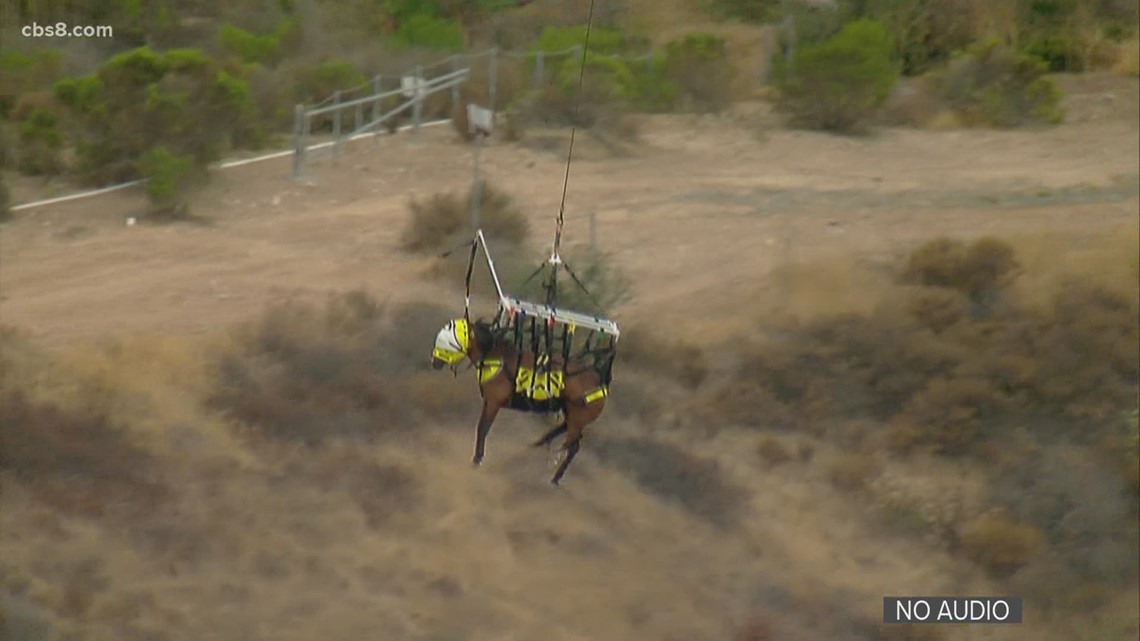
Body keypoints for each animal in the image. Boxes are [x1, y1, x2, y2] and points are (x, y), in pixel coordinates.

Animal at [430, 318, 611, 485]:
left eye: (448, 343)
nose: (434, 363)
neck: (494, 356)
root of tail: (600, 380)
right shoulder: (490, 402)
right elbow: (482, 427)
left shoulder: (493, 403)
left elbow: (483, 428)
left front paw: (477, 459)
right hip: (571, 413)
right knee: (566, 432)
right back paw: (540, 444)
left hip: (577, 418)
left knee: (572, 446)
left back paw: (555, 477)